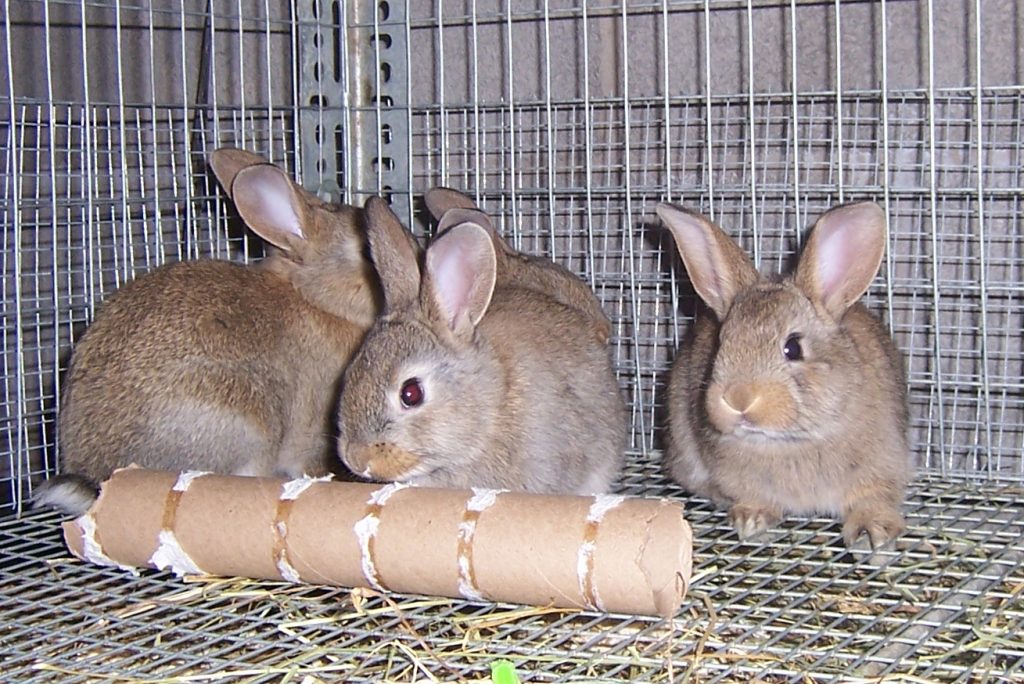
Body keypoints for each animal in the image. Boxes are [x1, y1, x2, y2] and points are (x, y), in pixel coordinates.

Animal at [657, 201, 911, 549]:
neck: (788, 441)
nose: (738, 398)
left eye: (793, 347)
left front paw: (872, 534)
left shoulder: (882, 465)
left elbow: (872, 498)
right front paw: (750, 520)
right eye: (721, 342)